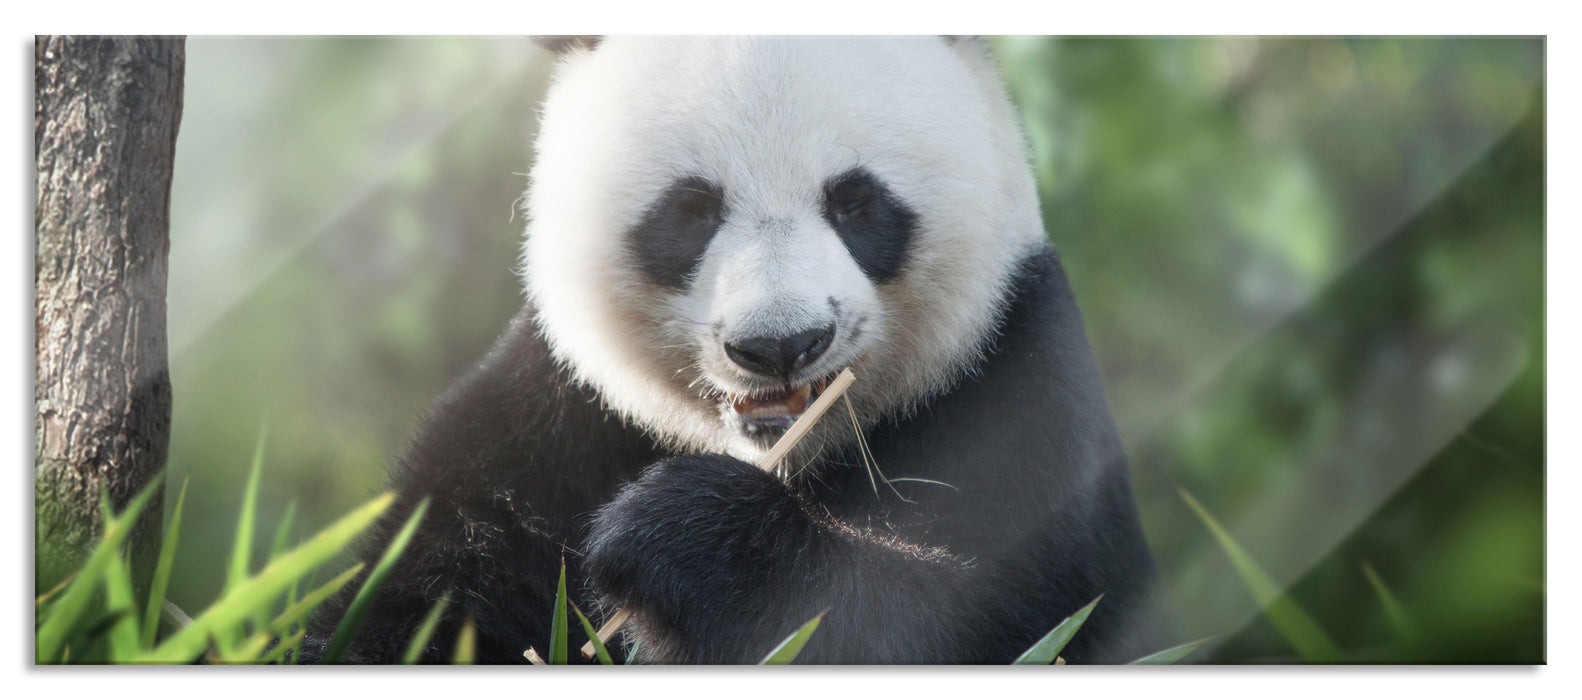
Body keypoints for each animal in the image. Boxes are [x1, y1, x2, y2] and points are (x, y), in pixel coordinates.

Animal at [308, 35, 1159, 664]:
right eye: (691, 209)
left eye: (855, 202)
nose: (781, 345)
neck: (785, 453)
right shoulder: (551, 422)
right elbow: (413, 599)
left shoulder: (1015, 382)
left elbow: (1006, 619)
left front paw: (680, 539)